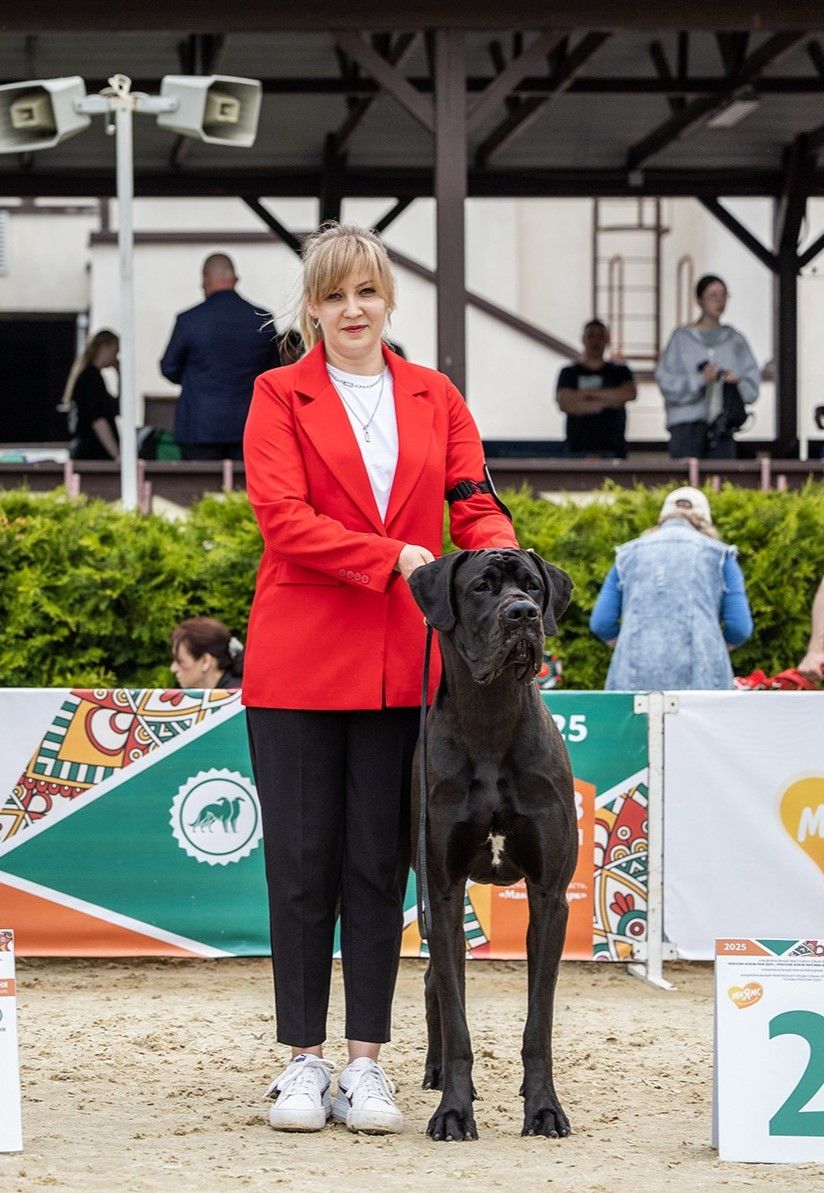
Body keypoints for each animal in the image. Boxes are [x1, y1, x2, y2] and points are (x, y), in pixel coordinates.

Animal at [408, 548, 577, 1142]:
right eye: (482, 587)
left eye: (534, 586)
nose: (522, 614)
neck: (491, 718)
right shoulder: (442, 891)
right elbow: (458, 1020)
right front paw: (454, 1112)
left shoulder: (549, 896)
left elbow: (539, 1022)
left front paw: (545, 1108)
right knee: (437, 982)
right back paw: (437, 1073)